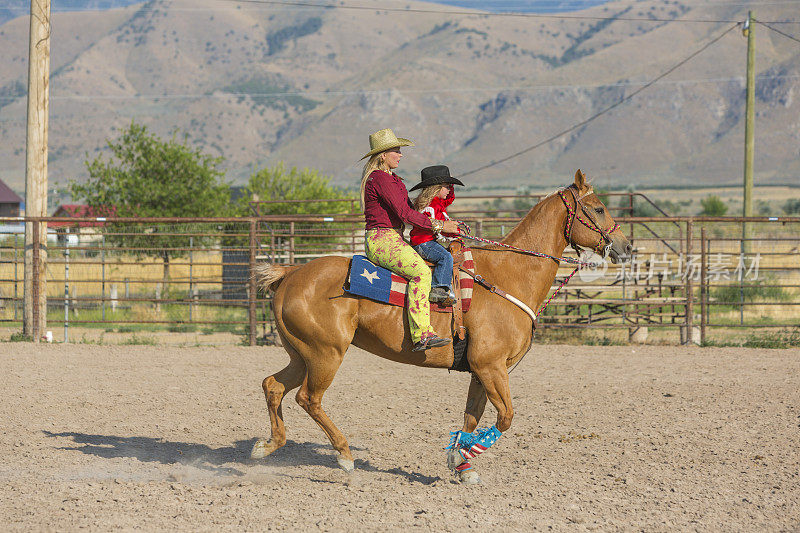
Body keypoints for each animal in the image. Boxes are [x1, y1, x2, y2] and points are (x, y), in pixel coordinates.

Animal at [250, 170, 632, 482]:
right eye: (598, 208)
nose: (625, 247)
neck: (507, 275)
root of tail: (291, 273)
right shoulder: (491, 366)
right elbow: (505, 417)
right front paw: (466, 454)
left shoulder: (480, 371)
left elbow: (472, 417)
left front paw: (461, 464)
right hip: (325, 354)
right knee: (308, 398)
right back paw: (344, 455)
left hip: (301, 354)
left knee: (273, 386)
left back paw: (267, 445)